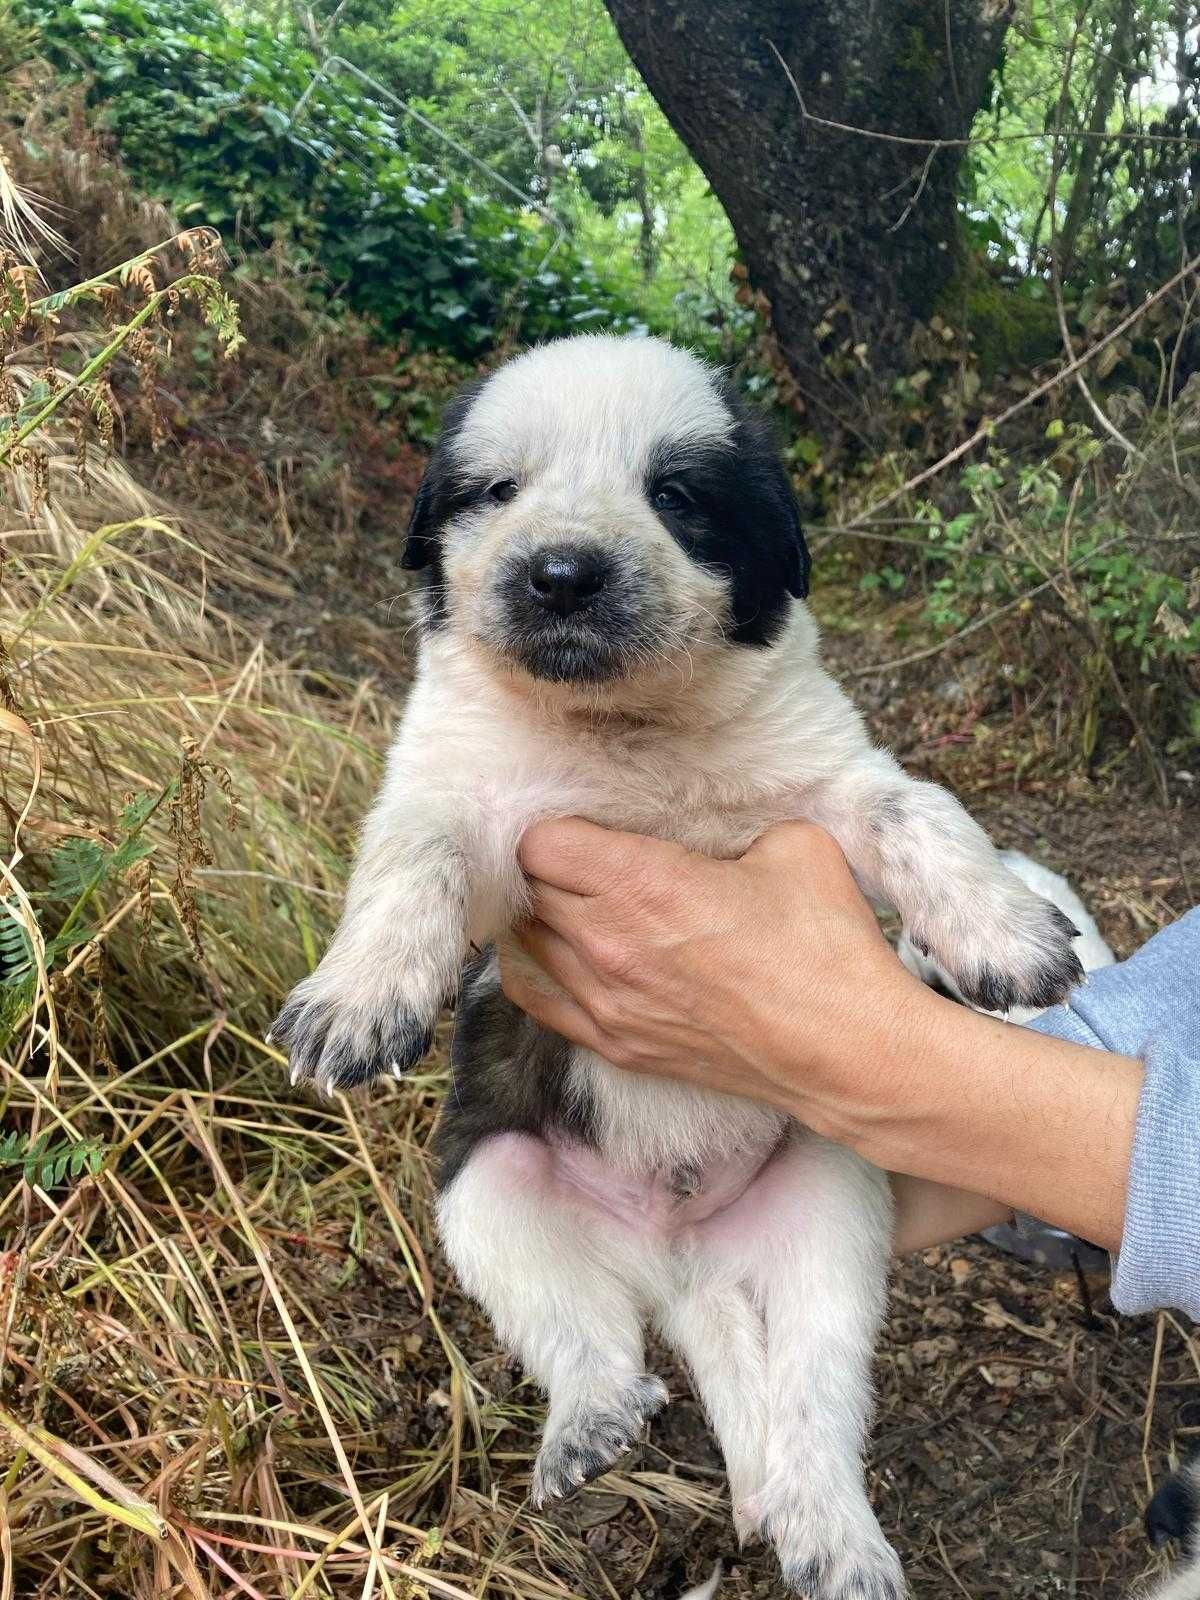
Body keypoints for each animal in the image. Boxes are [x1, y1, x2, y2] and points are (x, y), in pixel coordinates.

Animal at [276, 337, 1088, 1600]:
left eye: (677, 495)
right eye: (496, 490)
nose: (561, 573)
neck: (627, 730)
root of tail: (677, 1256)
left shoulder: (828, 779)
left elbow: (920, 810)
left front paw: (1004, 932)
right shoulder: (471, 812)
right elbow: (412, 858)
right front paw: (357, 1000)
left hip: (828, 1214)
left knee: (810, 1399)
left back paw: (828, 1530)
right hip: (493, 1188)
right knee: (589, 1337)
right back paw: (593, 1427)